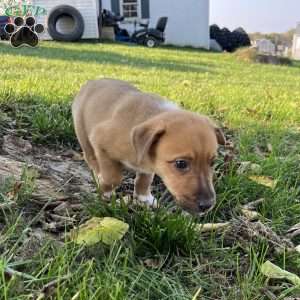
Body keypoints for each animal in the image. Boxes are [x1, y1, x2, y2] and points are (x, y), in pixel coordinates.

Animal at [72, 79, 225, 214]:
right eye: (181, 164)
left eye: (213, 162)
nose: (207, 205)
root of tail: (90, 82)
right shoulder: (100, 142)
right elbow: (113, 177)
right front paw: (106, 193)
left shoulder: (150, 163)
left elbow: (144, 179)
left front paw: (144, 198)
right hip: (83, 135)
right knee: (91, 158)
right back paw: (98, 175)